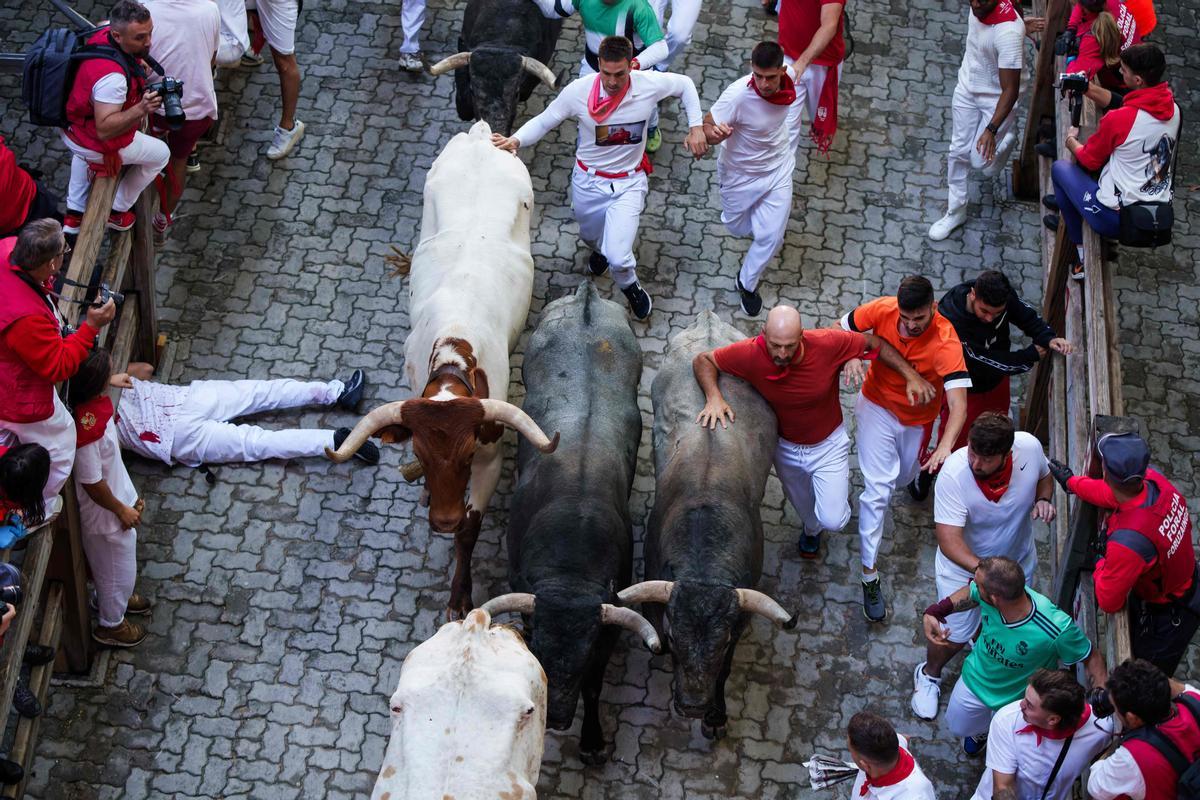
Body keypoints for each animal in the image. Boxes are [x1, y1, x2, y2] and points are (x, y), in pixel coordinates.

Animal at [326, 122, 554, 618]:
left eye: (466, 457)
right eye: (421, 454)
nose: (443, 521)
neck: (454, 347)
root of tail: (482, 135)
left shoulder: (490, 456)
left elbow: (471, 529)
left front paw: (459, 595)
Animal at [482, 284, 662, 767]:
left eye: (583, 659)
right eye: (540, 652)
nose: (560, 719)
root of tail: (586, 298)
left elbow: (597, 688)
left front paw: (592, 740)